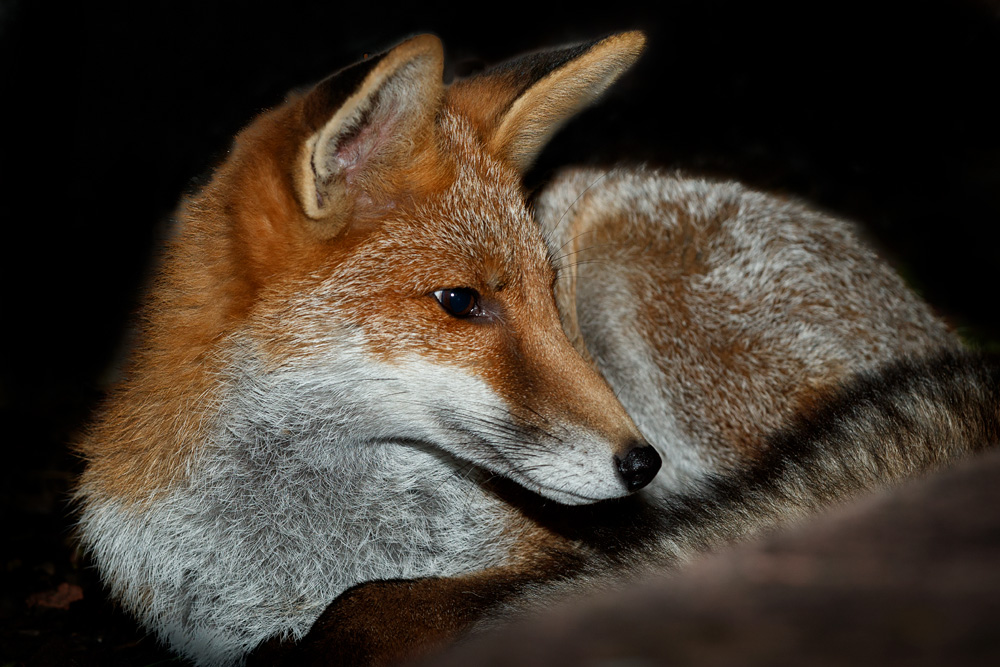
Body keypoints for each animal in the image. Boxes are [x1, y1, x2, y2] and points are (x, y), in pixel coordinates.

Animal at [73, 31, 999, 667]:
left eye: (546, 293)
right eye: (461, 301)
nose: (641, 465)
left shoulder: (559, 557)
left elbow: (366, 608)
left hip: (630, 278)